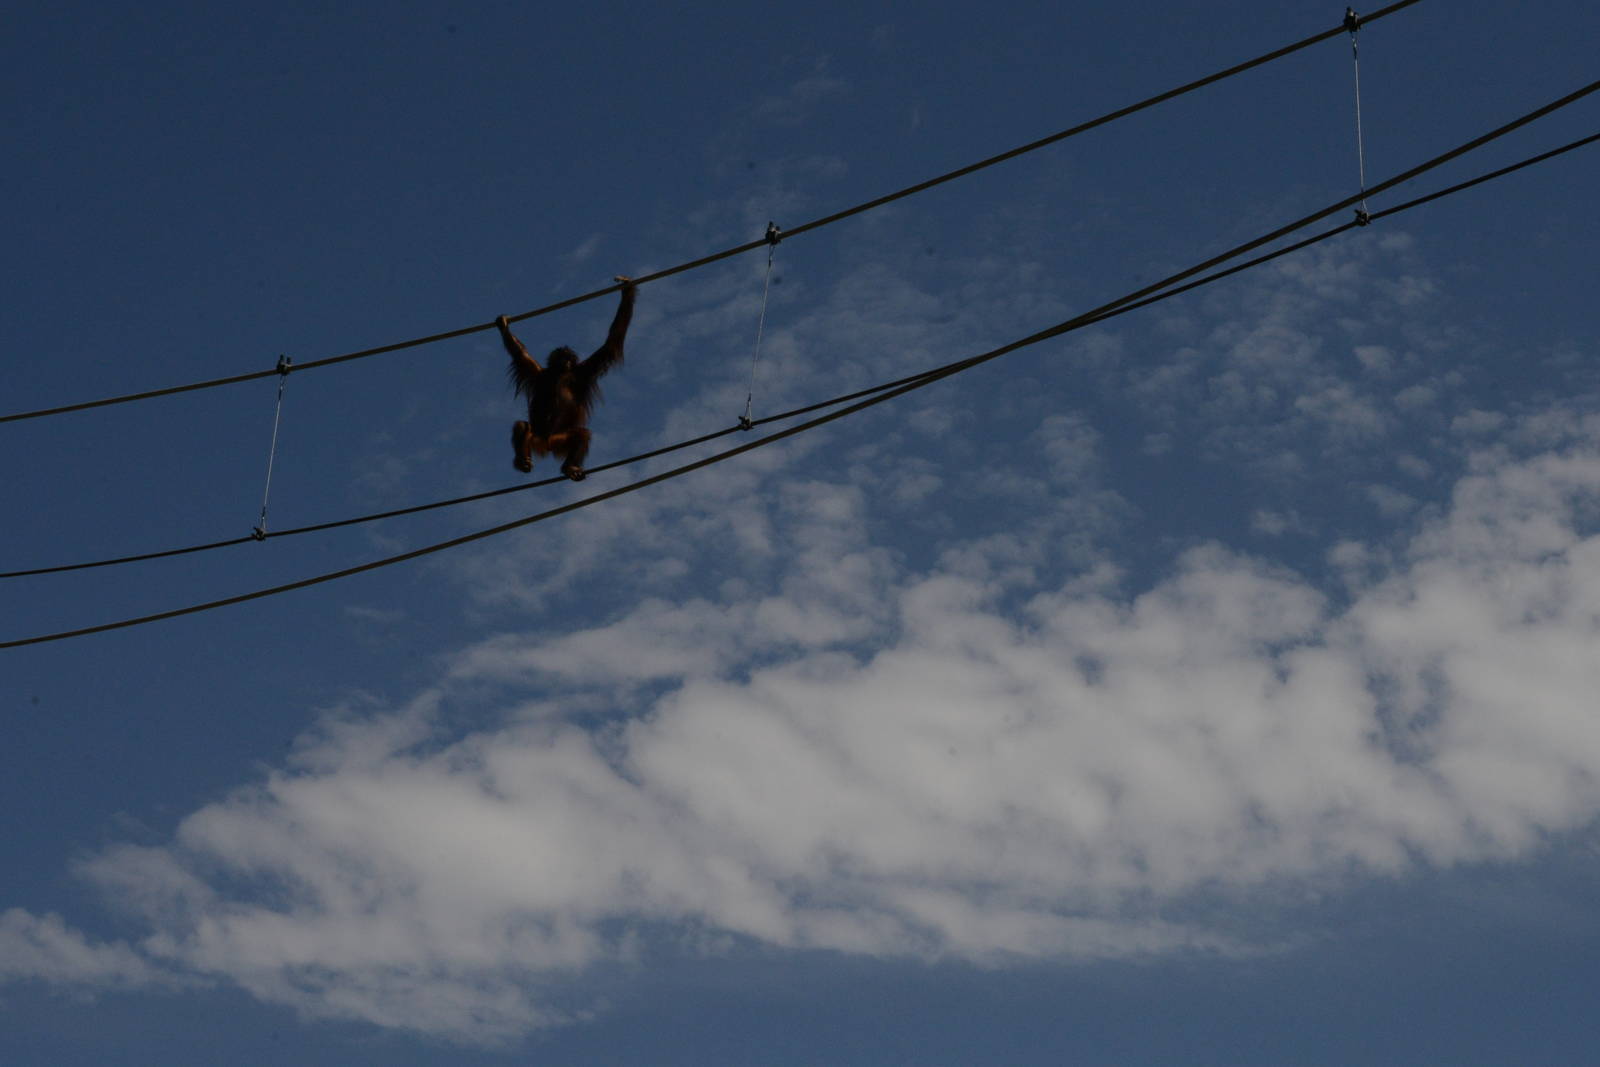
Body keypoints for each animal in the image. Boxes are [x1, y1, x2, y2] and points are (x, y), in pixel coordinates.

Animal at [497, 276, 636, 481]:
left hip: (560, 439)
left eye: (570, 358)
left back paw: (570, 467)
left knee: (581, 435)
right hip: (536, 437)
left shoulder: (583, 371)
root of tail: (547, 444)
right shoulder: (536, 372)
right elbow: (519, 353)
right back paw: (523, 462)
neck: (559, 373)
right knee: (523, 426)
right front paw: (504, 325)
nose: (567, 362)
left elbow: (610, 344)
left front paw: (626, 290)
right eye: (563, 357)